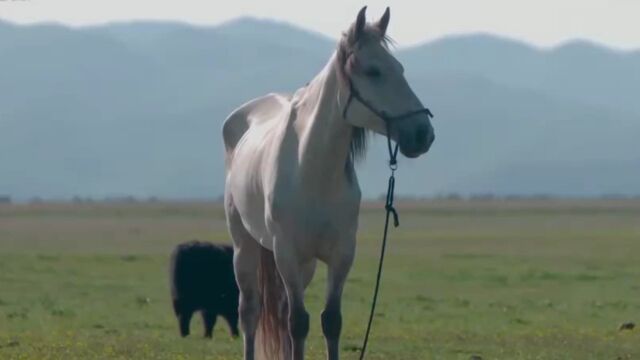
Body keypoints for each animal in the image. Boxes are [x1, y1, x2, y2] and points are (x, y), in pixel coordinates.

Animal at [221, 6, 436, 360]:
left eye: (400, 69)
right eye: (374, 71)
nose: (423, 134)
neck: (312, 171)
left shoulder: (341, 254)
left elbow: (329, 320)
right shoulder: (287, 254)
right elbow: (298, 323)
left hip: (306, 264)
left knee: (282, 311)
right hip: (246, 248)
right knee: (250, 312)